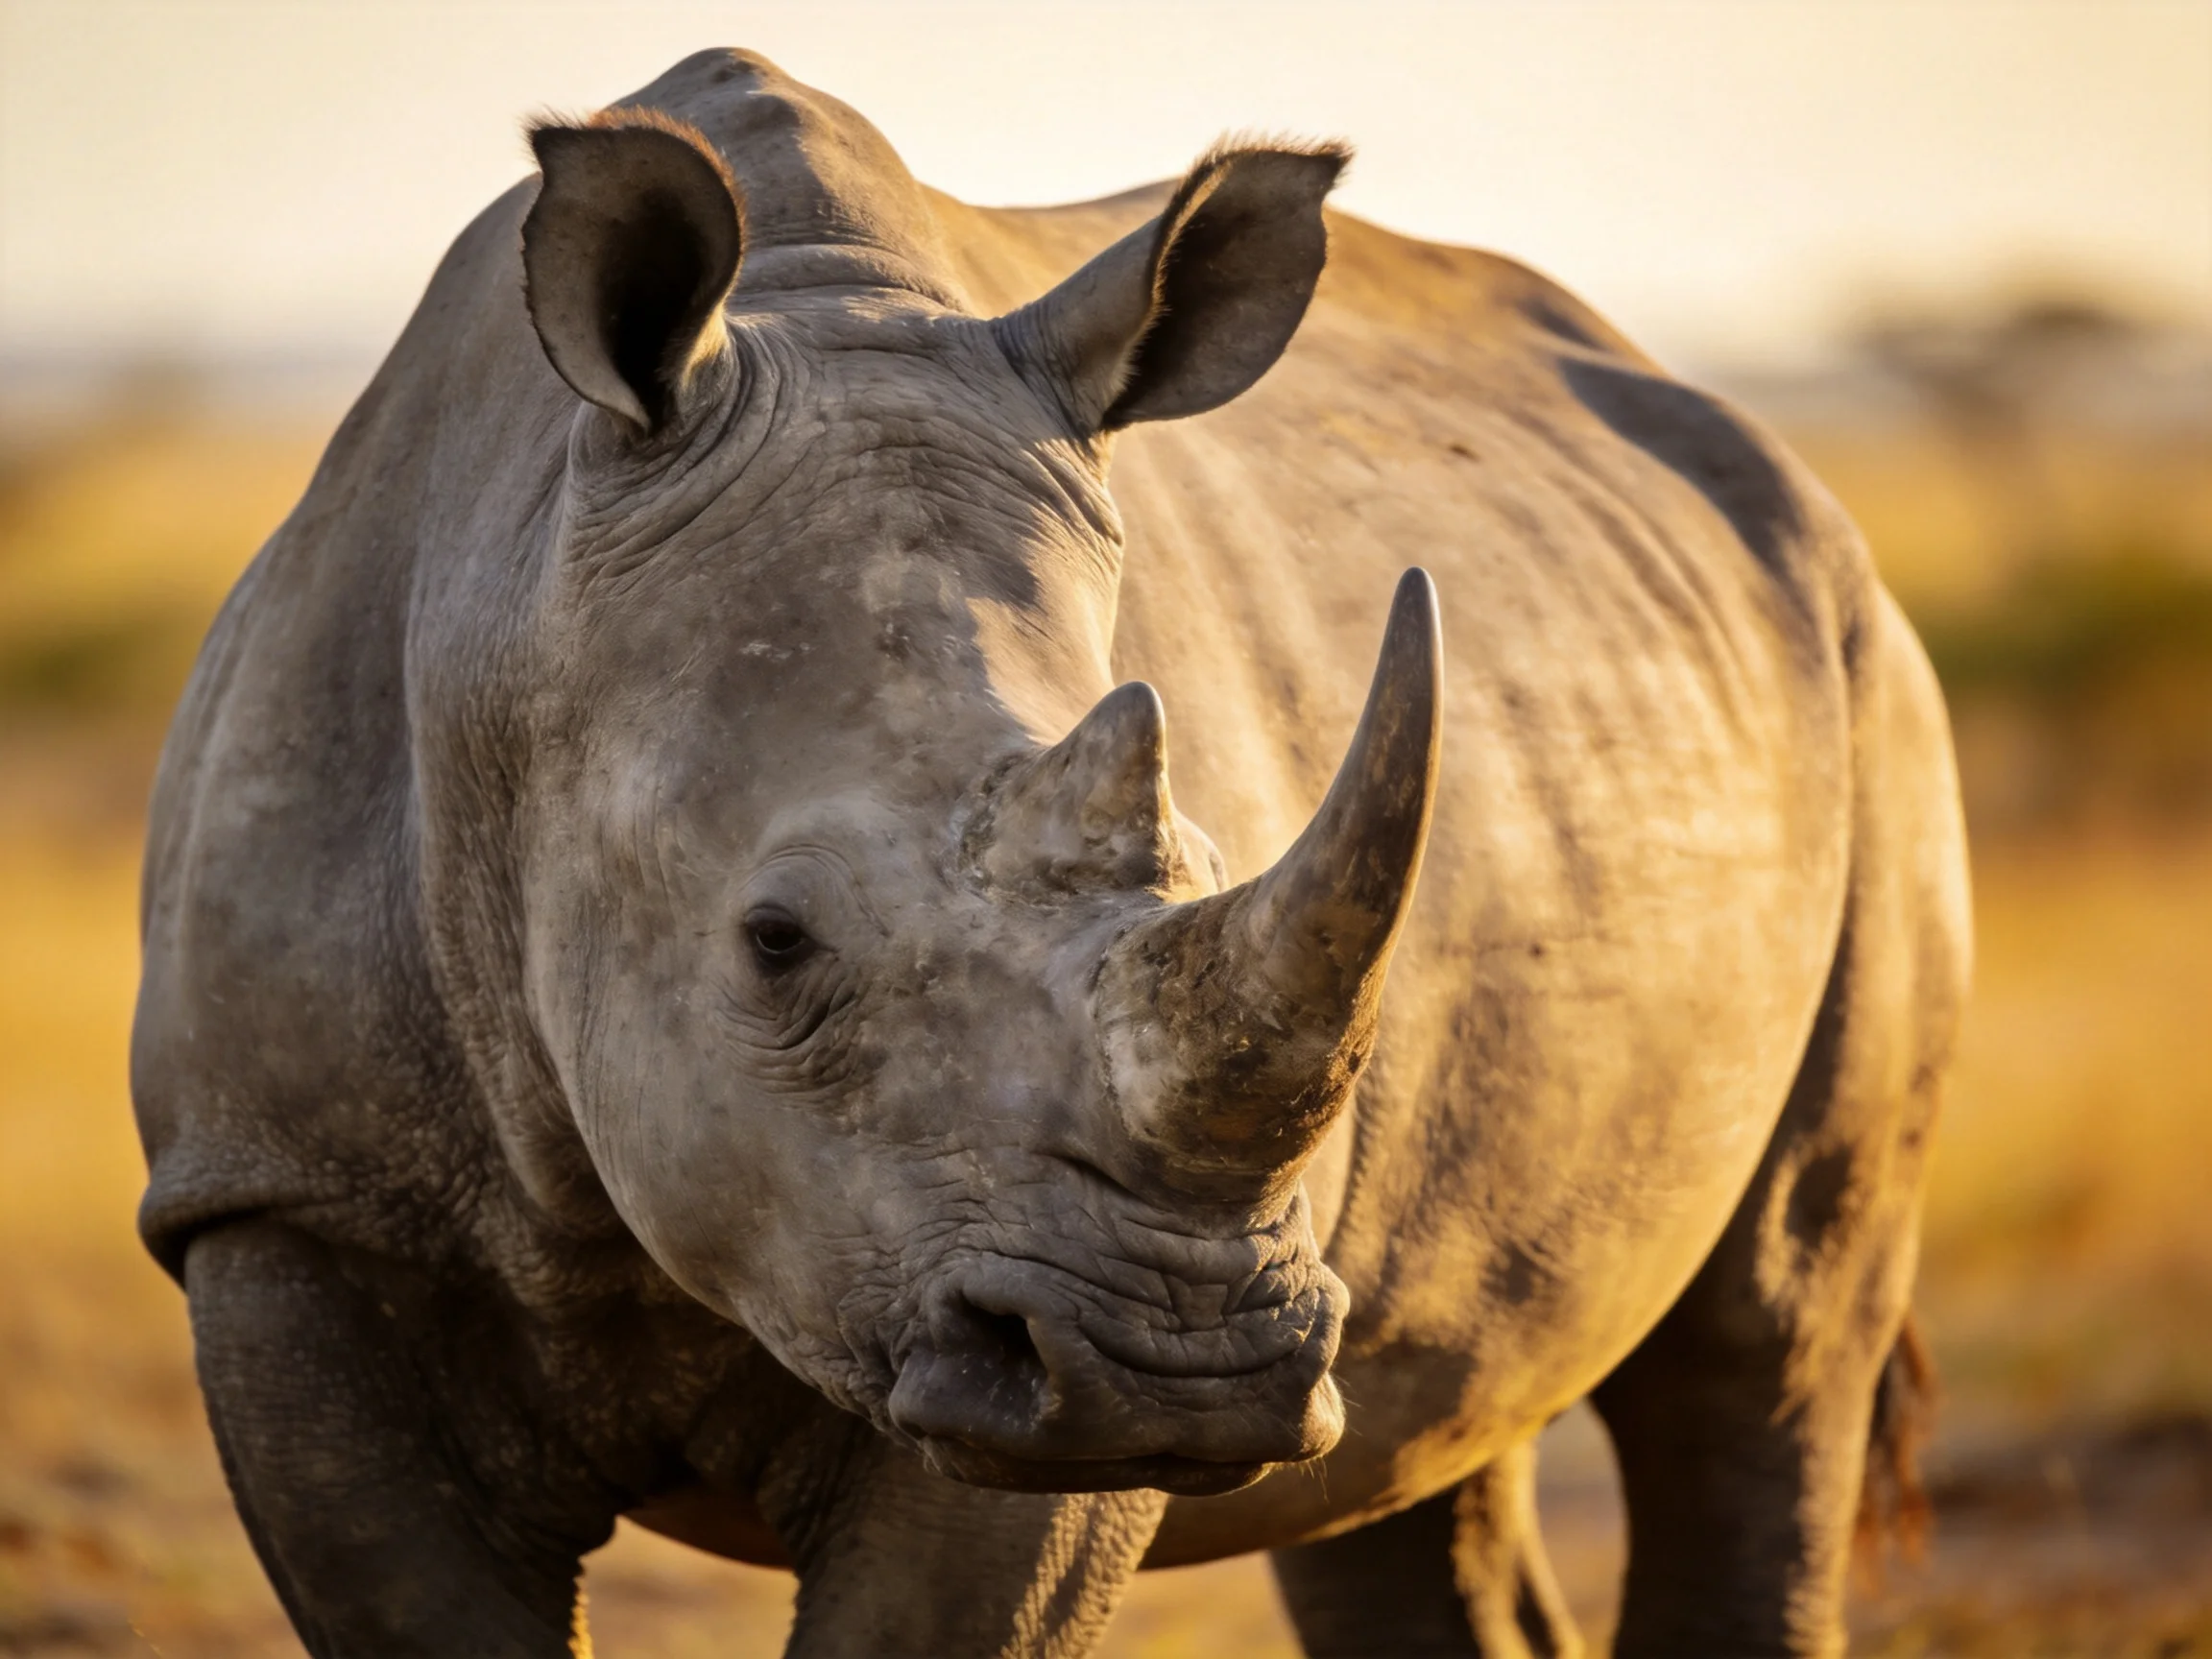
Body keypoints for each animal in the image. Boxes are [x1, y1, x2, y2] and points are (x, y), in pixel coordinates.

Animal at [132, 47, 1970, 1659]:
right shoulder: (282, 1201)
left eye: (1204, 856)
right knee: (1412, 1453)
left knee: (1767, 1339)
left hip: (1877, 685)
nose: (1181, 1363)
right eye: (775, 941)